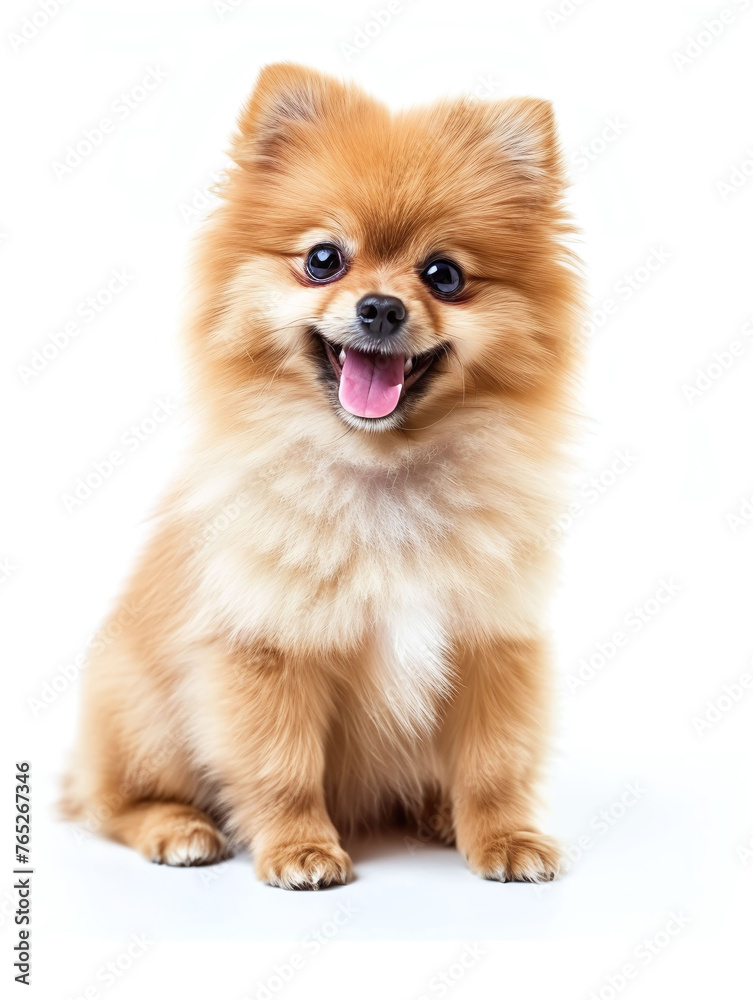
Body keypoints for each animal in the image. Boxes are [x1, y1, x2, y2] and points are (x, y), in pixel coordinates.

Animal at [64, 64, 580, 892]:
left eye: (443, 275)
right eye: (322, 260)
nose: (380, 307)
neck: (382, 474)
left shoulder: (491, 639)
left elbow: (492, 763)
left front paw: (502, 835)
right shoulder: (267, 648)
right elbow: (281, 767)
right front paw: (299, 848)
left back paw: (436, 814)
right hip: (141, 714)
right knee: (113, 801)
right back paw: (177, 828)